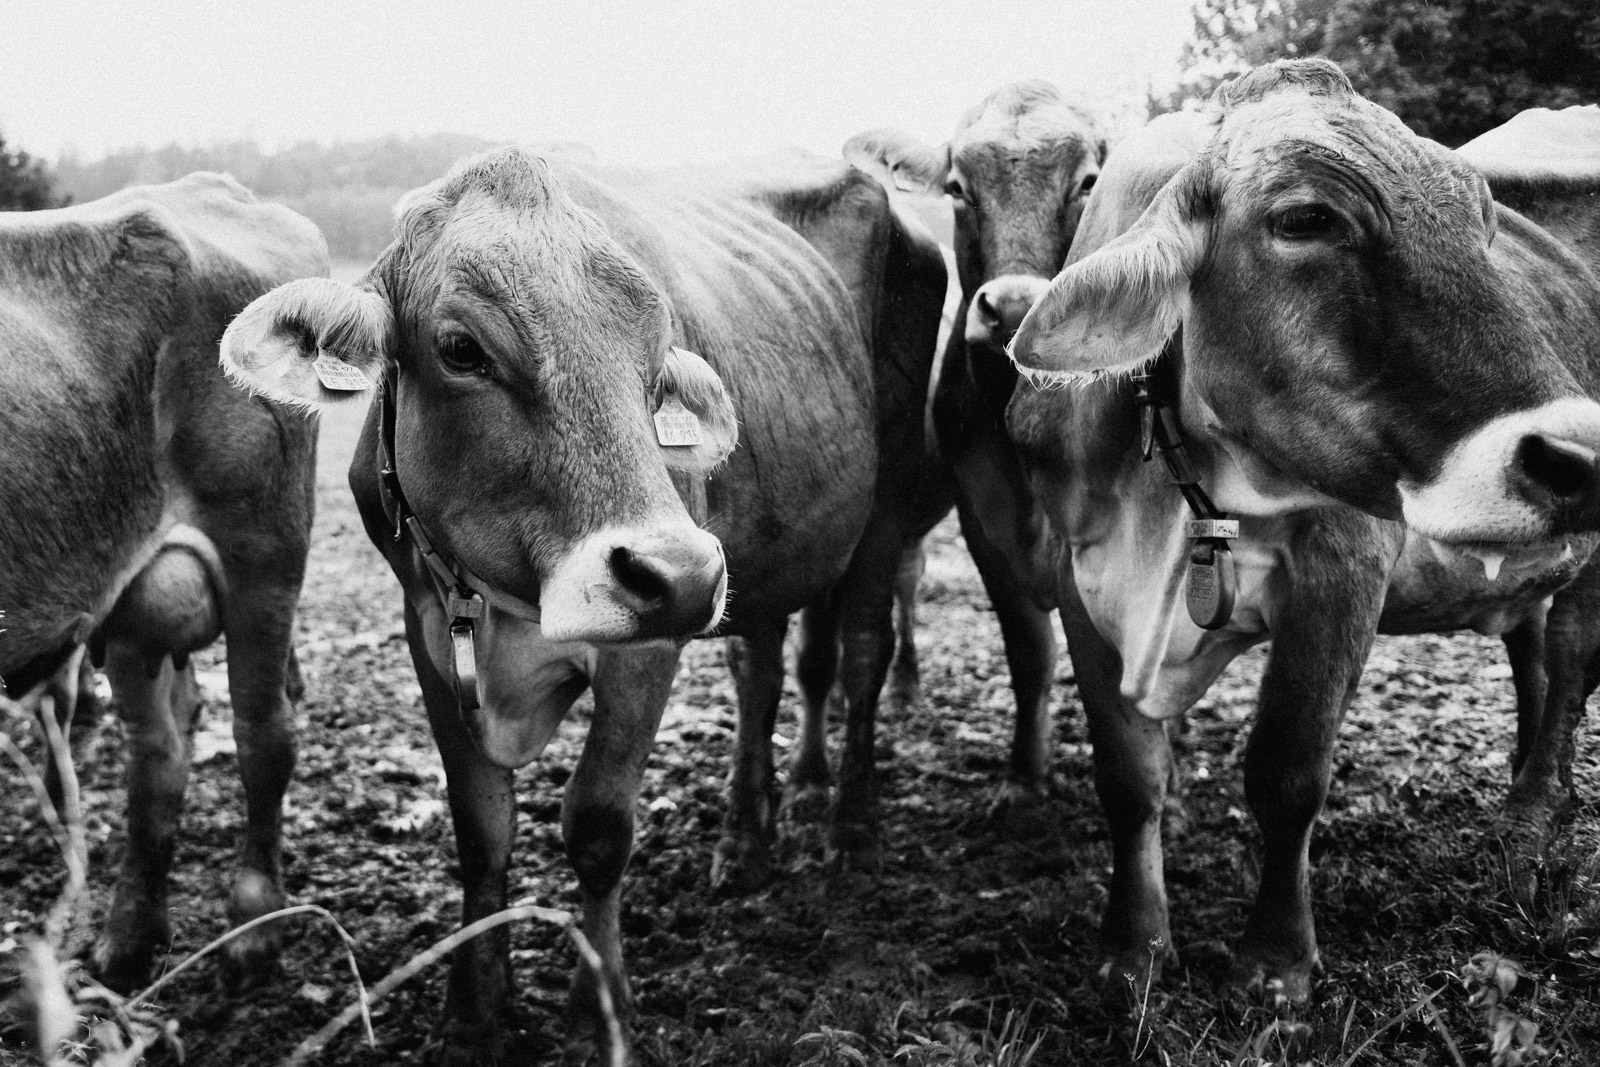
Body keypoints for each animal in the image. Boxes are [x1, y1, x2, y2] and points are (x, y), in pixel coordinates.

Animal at [0, 174, 326, 990]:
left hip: (262, 556)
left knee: (264, 733)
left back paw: (254, 922)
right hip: (134, 598)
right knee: (159, 754)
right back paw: (128, 934)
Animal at [220, 148, 945, 1065]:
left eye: (657, 360)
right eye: (461, 348)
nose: (681, 574)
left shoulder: (645, 647)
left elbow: (599, 825)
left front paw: (600, 1008)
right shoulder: (430, 634)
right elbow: (482, 829)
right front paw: (475, 1009)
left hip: (879, 514)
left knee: (861, 654)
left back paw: (850, 826)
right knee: (761, 676)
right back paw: (744, 838)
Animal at [816, 82, 1105, 839]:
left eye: (1088, 182)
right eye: (957, 188)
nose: (1012, 308)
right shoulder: (983, 519)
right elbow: (1028, 652)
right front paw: (1025, 780)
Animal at [1004, 59, 1600, 1002]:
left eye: (1480, 221)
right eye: (1306, 219)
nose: (1578, 453)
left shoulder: (1343, 565)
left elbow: (1287, 770)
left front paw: (1276, 964)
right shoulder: (1075, 573)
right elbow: (1128, 777)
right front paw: (1133, 949)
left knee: (1574, 663)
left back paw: (1530, 840)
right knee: (1539, 658)